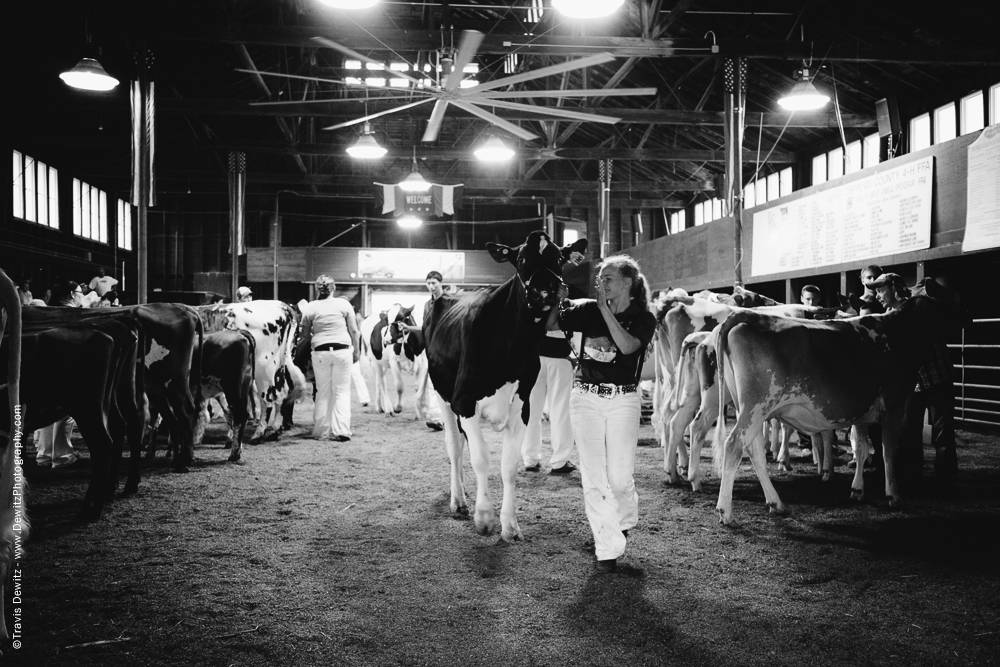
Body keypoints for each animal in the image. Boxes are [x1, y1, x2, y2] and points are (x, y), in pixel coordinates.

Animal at [712, 280, 960, 524]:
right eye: (948, 294)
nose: (963, 316)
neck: (900, 333)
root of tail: (746, 315)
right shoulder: (895, 406)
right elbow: (888, 450)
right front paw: (894, 496)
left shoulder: (861, 412)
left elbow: (861, 448)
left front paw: (857, 490)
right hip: (757, 406)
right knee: (734, 444)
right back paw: (726, 511)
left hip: (750, 408)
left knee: (754, 450)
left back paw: (776, 503)